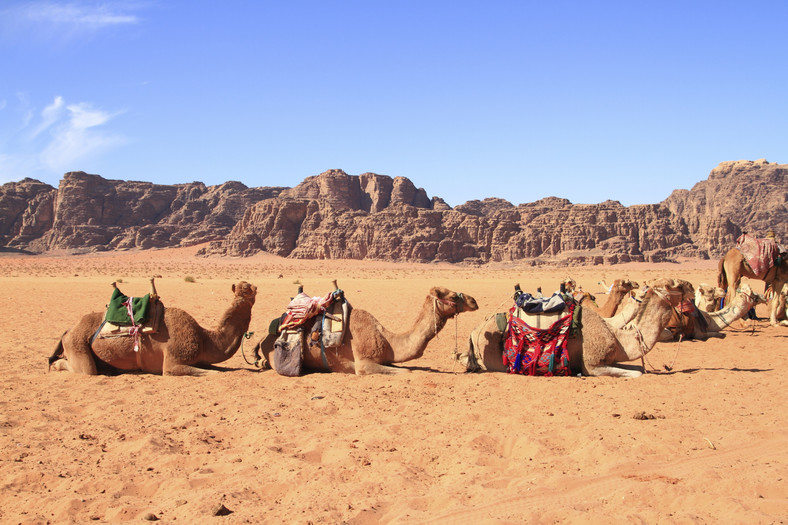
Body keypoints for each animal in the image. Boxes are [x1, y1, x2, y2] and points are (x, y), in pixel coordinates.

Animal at [48, 280, 258, 374]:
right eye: (245, 289)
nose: (253, 287)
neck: (205, 338)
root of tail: (68, 331)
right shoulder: (172, 362)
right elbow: (210, 373)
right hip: (77, 344)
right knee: (85, 369)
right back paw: (56, 364)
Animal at [464, 282, 688, 376]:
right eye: (677, 285)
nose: (691, 288)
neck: (615, 334)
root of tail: (475, 331)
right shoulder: (593, 364)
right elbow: (638, 374)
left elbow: (639, 369)